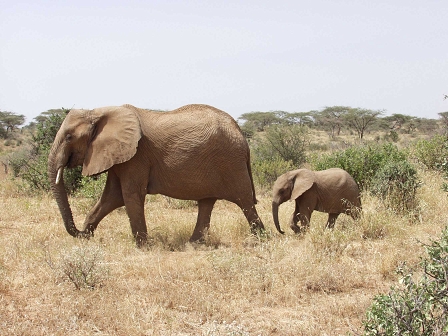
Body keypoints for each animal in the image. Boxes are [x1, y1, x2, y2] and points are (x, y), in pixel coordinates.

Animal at [48, 103, 266, 245]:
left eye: (69, 137)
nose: (82, 233)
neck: (99, 111)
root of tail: (240, 133)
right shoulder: (121, 158)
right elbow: (112, 198)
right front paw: (88, 235)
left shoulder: (137, 156)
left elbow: (130, 195)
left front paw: (143, 246)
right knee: (207, 202)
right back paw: (193, 243)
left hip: (230, 162)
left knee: (244, 201)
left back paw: (259, 240)